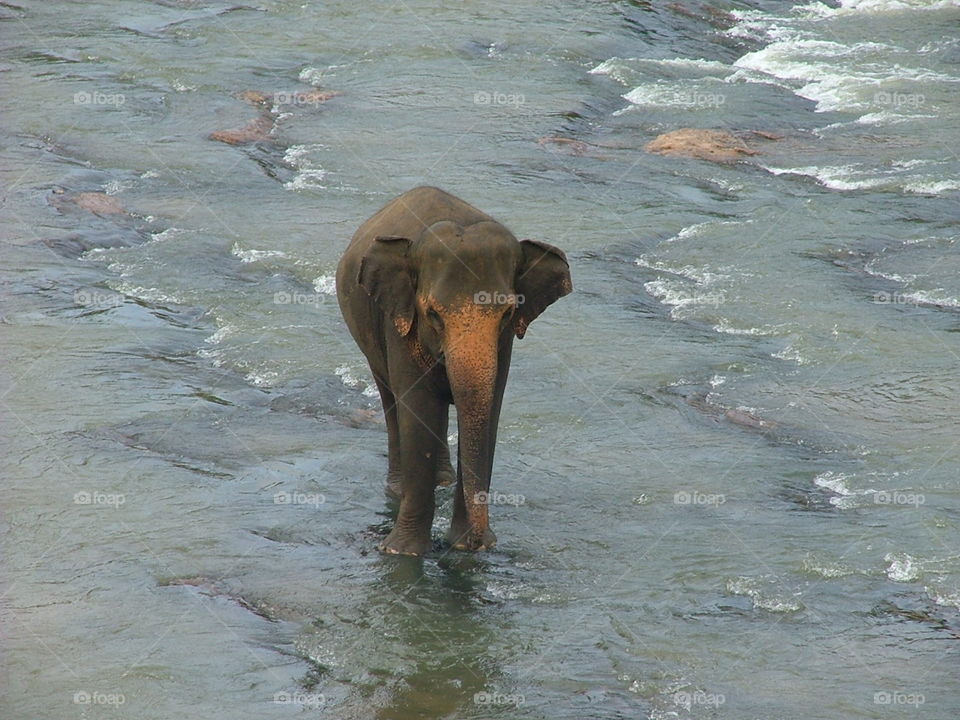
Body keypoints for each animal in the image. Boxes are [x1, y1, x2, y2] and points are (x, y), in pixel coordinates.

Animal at [336, 186, 572, 556]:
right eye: (433, 314)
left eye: (507, 313)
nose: (482, 540)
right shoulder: (400, 325)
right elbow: (418, 411)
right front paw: (402, 551)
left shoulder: (504, 345)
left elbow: (488, 413)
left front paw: (464, 546)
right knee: (391, 402)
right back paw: (398, 488)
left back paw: (443, 481)